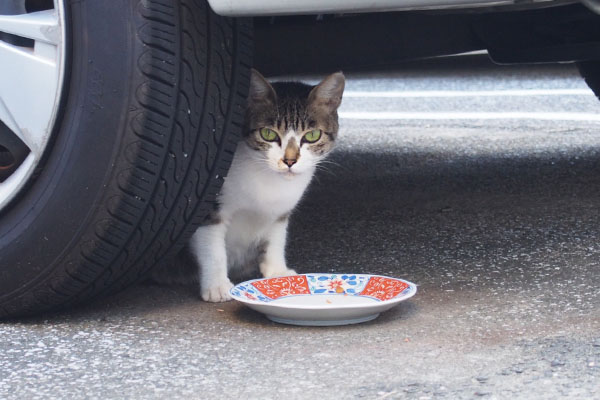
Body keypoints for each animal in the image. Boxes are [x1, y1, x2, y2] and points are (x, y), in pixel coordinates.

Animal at [164, 69, 344, 302]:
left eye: (312, 136)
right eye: (268, 134)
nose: (289, 161)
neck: (268, 179)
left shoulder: (281, 211)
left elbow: (276, 239)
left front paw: (277, 272)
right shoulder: (209, 206)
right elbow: (212, 248)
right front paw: (217, 286)